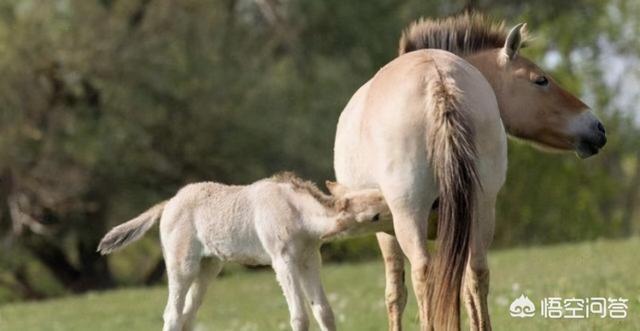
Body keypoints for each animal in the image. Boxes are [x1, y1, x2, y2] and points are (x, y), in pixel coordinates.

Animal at [332, 13, 608, 331]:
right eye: (541, 80)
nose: (597, 127)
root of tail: (439, 80)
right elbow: (460, 286)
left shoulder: (385, 229)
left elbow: (396, 293)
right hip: (482, 207)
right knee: (477, 272)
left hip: (409, 215)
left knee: (423, 273)